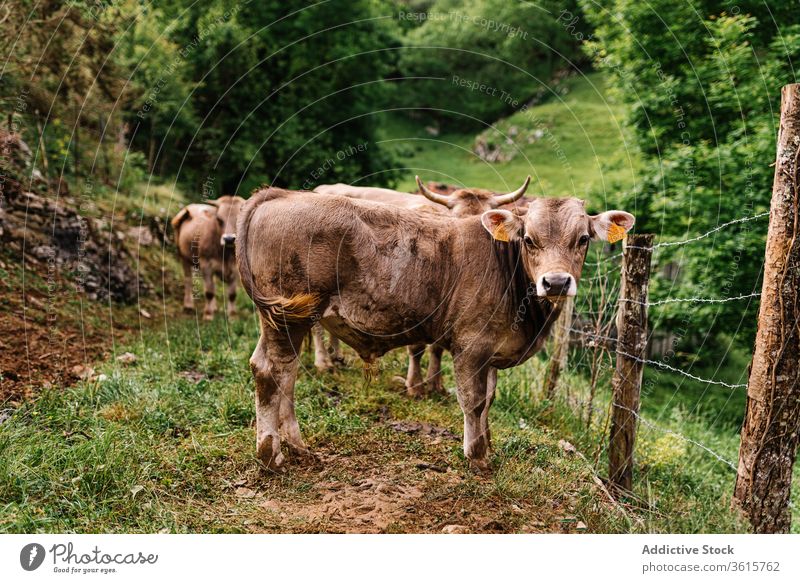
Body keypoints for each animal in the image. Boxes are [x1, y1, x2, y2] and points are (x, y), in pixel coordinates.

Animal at [234, 189, 636, 472]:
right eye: (529, 239)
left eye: (582, 239)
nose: (555, 282)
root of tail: (279, 194)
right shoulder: (471, 346)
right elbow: (473, 401)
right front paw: (477, 456)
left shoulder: (491, 350)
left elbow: (489, 399)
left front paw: (488, 445)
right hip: (289, 316)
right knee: (271, 371)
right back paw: (271, 455)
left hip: (284, 319)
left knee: (279, 371)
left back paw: (296, 447)